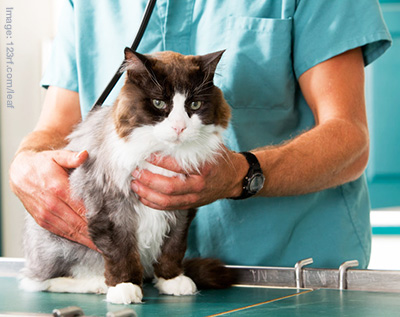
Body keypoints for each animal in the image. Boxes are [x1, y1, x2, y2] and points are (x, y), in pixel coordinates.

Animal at [21, 47, 234, 304]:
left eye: (194, 104)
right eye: (158, 103)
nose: (179, 127)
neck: (162, 152)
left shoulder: (181, 208)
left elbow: (173, 248)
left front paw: (171, 279)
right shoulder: (111, 208)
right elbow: (121, 252)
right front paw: (124, 287)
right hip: (58, 246)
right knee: (38, 281)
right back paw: (96, 284)